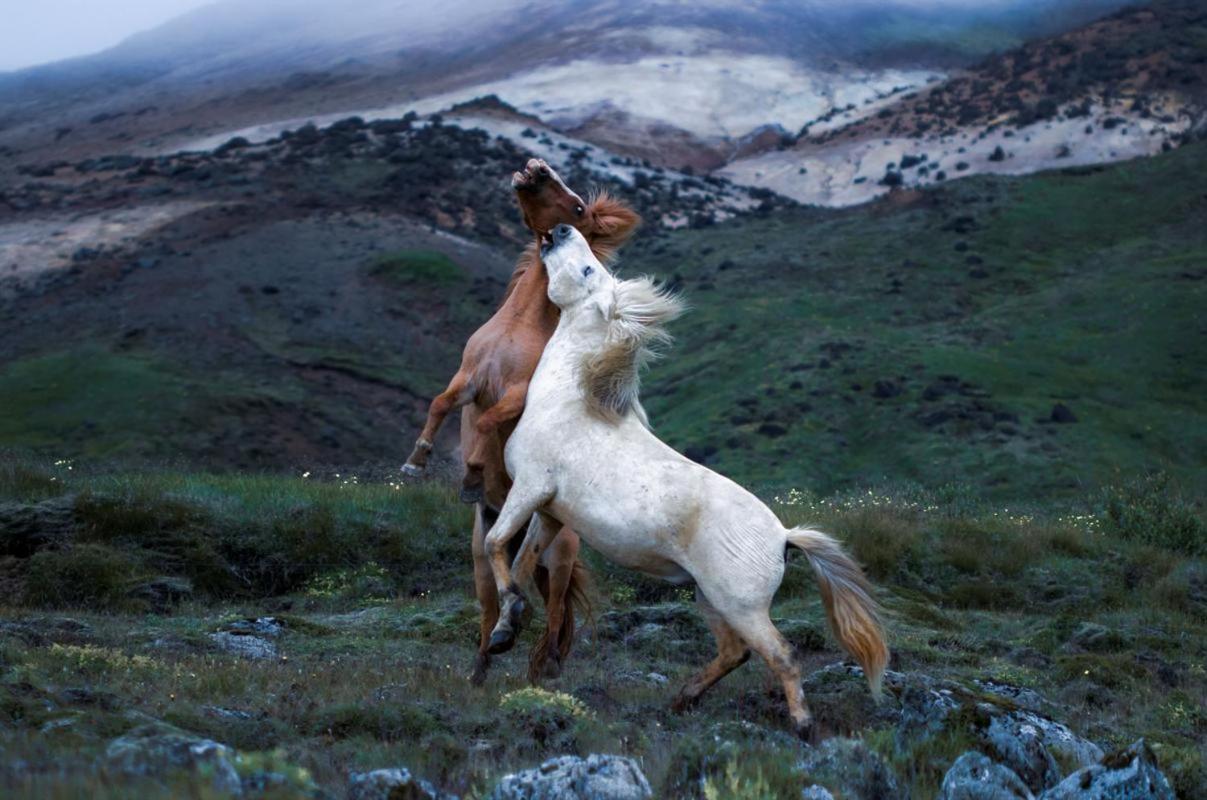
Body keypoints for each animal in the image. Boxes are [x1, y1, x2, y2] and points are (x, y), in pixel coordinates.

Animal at [403, 159, 642, 685]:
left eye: (578, 207)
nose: (537, 167)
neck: (520, 325)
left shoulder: (516, 394)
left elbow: (489, 422)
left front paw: (472, 475)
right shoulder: (468, 378)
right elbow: (438, 405)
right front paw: (416, 460)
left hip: (559, 553)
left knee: (552, 612)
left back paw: (542, 669)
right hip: (481, 553)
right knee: (494, 602)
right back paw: (484, 663)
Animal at [480, 222, 888, 733]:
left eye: (590, 268)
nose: (560, 229)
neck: (568, 403)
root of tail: (783, 536)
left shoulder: (531, 487)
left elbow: (494, 543)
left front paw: (505, 627)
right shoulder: (551, 511)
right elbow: (520, 563)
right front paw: (506, 628)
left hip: (740, 605)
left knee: (780, 654)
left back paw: (801, 724)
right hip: (709, 598)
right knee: (734, 653)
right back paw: (682, 699)